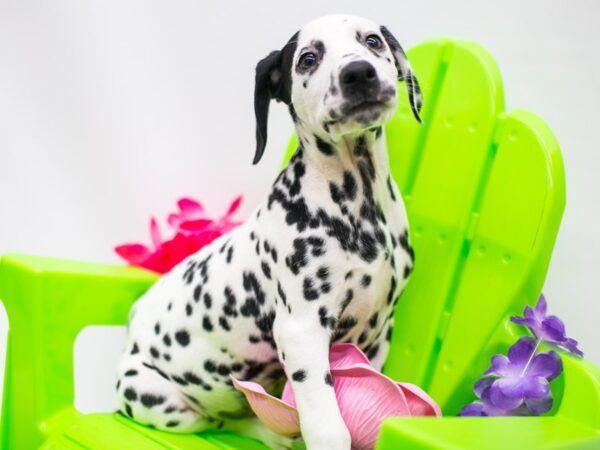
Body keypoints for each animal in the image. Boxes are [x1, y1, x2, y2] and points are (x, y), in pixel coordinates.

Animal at [115, 14, 420, 450]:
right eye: (308, 58)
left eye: (373, 41)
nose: (358, 72)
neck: (359, 204)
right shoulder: (302, 329)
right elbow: (327, 423)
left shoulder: (378, 334)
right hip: (153, 396)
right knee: (226, 422)